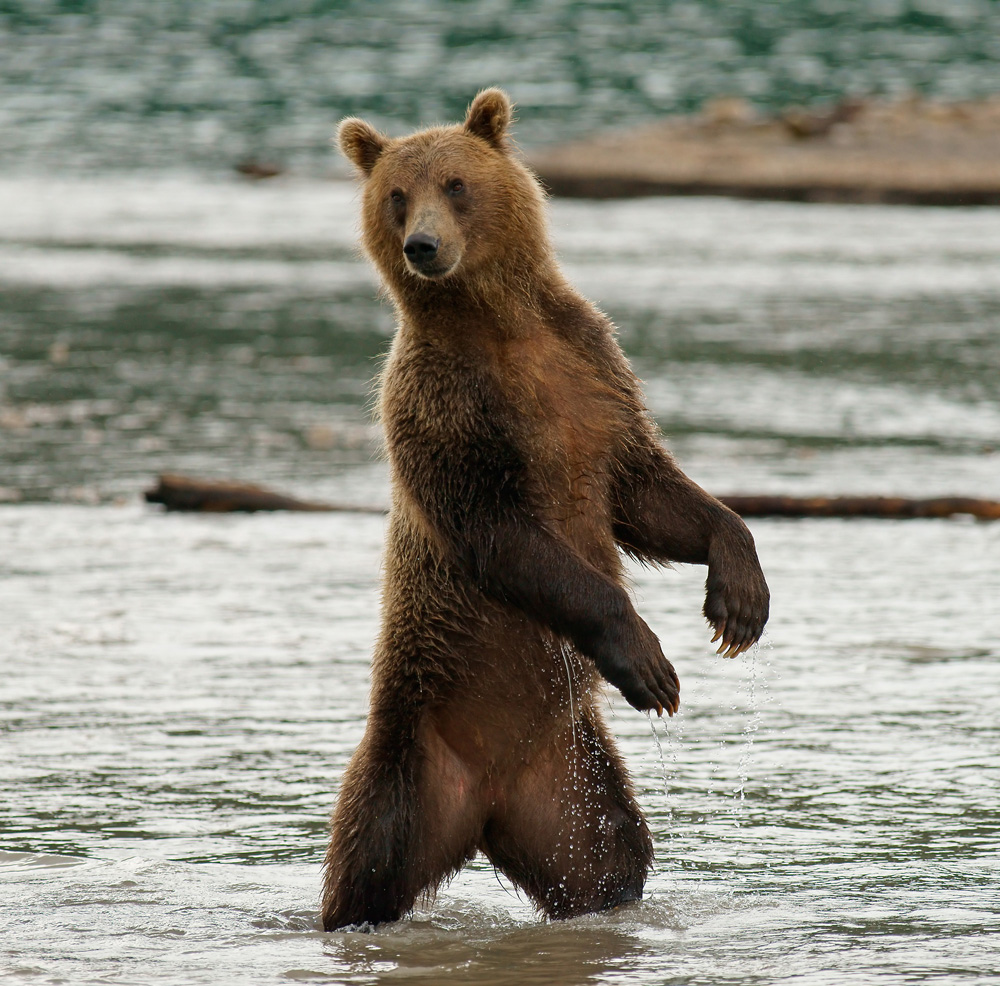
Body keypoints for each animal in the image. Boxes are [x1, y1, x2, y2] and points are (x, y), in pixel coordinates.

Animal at [324, 86, 768, 932]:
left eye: (456, 184)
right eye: (397, 195)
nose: (423, 245)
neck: (499, 327)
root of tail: (482, 805)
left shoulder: (591, 375)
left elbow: (649, 491)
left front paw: (738, 602)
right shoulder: (443, 409)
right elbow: (505, 535)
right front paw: (649, 662)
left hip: (569, 780)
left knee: (608, 858)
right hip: (412, 750)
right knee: (367, 861)